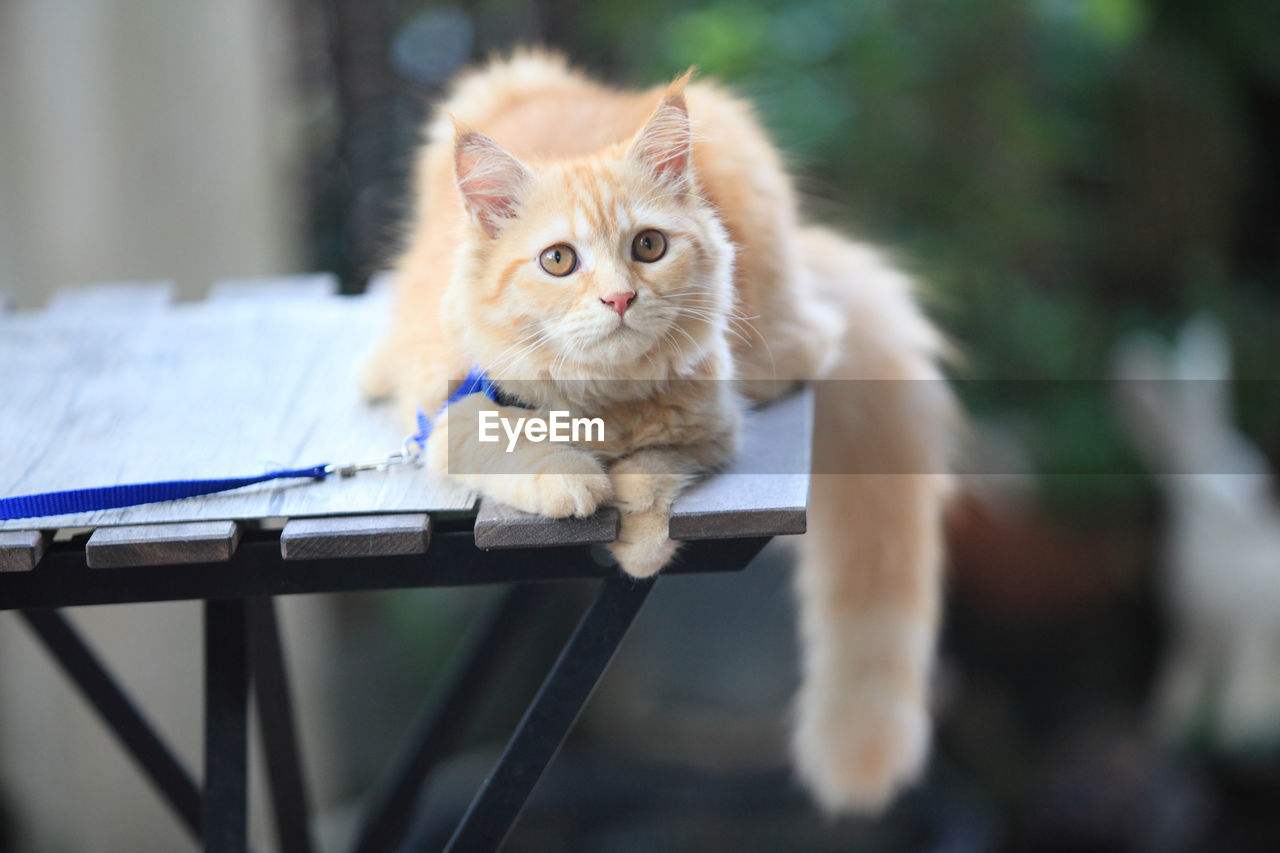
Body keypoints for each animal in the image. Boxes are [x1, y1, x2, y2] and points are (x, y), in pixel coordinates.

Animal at [363, 51, 962, 809]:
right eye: (558, 260)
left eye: (648, 246)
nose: (620, 298)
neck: (604, 402)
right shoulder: (450, 412)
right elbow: (517, 443)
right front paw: (574, 482)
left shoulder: (712, 422)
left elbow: (651, 476)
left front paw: (640, 542)